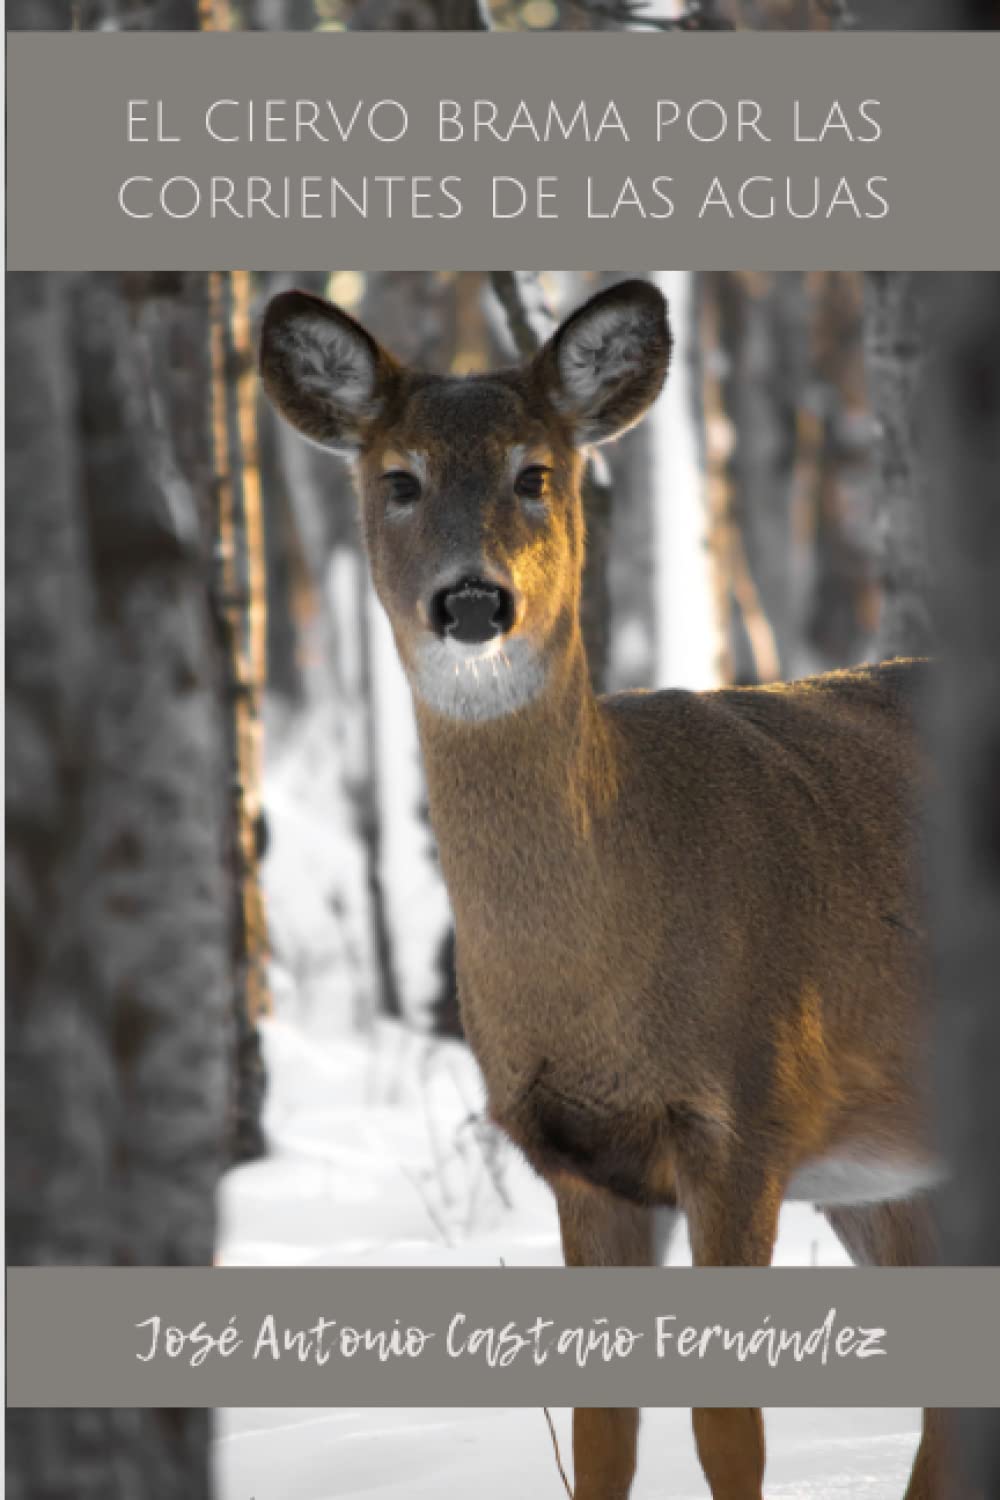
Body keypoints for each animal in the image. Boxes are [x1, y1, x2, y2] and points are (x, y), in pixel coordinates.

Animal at [260, 278, 949, 1500]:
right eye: (399, 478)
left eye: (535, 473)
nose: (472, 602)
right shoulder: (580, 1163)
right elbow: (599, 1434)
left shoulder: (746, 1115)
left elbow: (727, 1426)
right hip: (890, 1175)